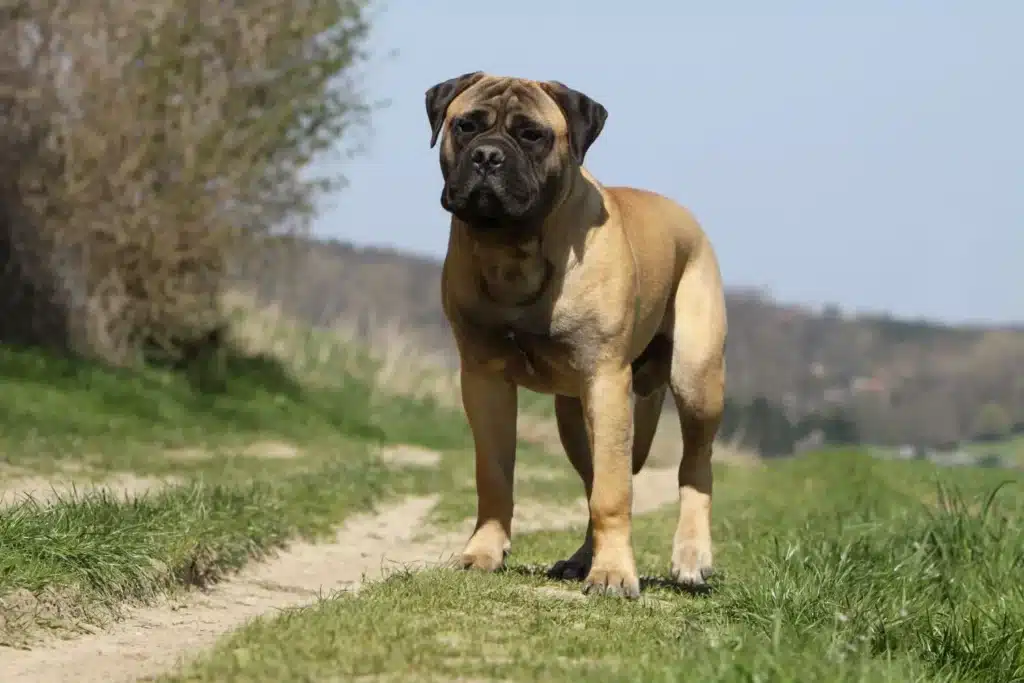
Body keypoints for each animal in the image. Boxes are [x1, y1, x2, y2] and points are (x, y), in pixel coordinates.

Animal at [425, 72, 729, 602]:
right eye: (465, 125)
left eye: (532, 135)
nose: (487, 156)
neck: (514, 247)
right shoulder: (483, 378)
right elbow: (494, 474)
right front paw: (484, 551)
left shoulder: (605, 380)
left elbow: (613, 492)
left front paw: (614, 574)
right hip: (573, 415)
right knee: (592, 481)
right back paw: (581, 559)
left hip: (696, 379)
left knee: (694, 467)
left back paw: (691, 558)